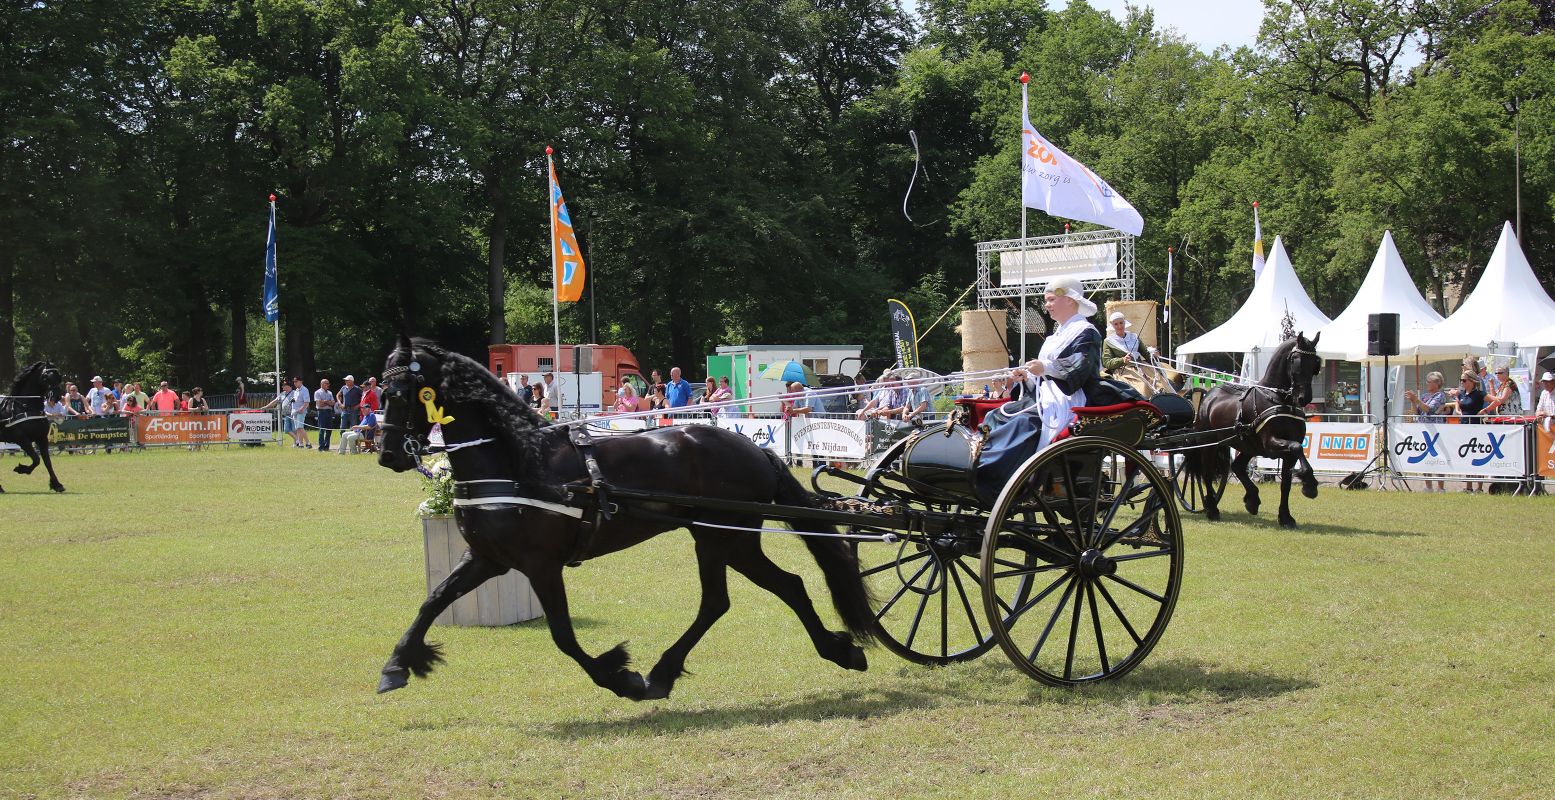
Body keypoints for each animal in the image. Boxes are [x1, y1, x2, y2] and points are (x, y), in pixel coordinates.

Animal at [0, 361, 66, 491]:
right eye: (46, 377)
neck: (26, 407)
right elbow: (36, 459)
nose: (56, 397)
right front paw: (22, 469)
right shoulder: (22, 440)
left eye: (59, 377)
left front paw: (57, 484)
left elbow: (47, 462)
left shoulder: (42, 439)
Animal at [368, 334, 870, 697]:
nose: (388, 453)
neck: (516, 462)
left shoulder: (541, 565)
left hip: (726, 537)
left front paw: (618, 677)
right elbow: (433, 602)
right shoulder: (486, 559)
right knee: (754, 594)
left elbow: (563, 635)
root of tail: (754, 447)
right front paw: (396, 666)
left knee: (758, 592)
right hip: (720, 538)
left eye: (402, 391)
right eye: (382, 390)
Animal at [1181, 331, 1318, 526]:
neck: (1279, 399)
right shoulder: (1271, 443)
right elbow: (1296, 447)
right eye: (1296, 361)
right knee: (1206, 473)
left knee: (1237, 466)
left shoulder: (1285, 452)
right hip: (1209, 444)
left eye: (1315, 364)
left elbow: (1286, 483)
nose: (1304, 398)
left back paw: (1252, 499)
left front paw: (1285, 516)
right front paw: (1310, 484)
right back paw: (1212, 508)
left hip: (1247, 444)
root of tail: (1209, 395)